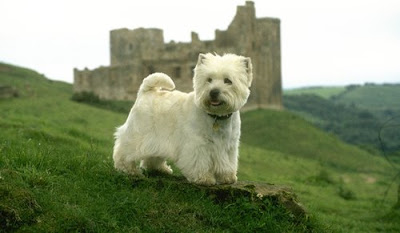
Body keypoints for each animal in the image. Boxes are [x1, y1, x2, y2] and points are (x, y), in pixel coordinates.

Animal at [112, 53, 252, 186]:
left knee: (152, 157)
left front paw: (227, 177)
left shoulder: (229, 146)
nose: (213, 92)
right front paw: (204, 179)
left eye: (228, 80)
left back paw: (161, 169)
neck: (217, 116)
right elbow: (199, 162)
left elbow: (228, 163)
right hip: (139, 134)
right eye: (209, 79)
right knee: (124, 152)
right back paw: (129, 170)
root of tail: (145, 92)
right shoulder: (197, 144)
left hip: (156, 141)